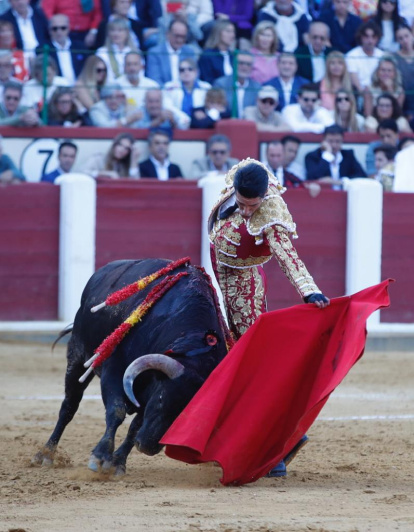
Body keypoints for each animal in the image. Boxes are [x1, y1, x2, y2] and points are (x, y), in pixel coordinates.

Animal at [32, 258, 228, 474]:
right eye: (161, 399)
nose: (148, 446)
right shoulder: (115, 370)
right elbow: (117, 411)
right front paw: (100, 457)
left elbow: (135, 426)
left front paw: (117, 462)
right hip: (77, 356)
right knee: (69, 405)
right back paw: (46, 454)